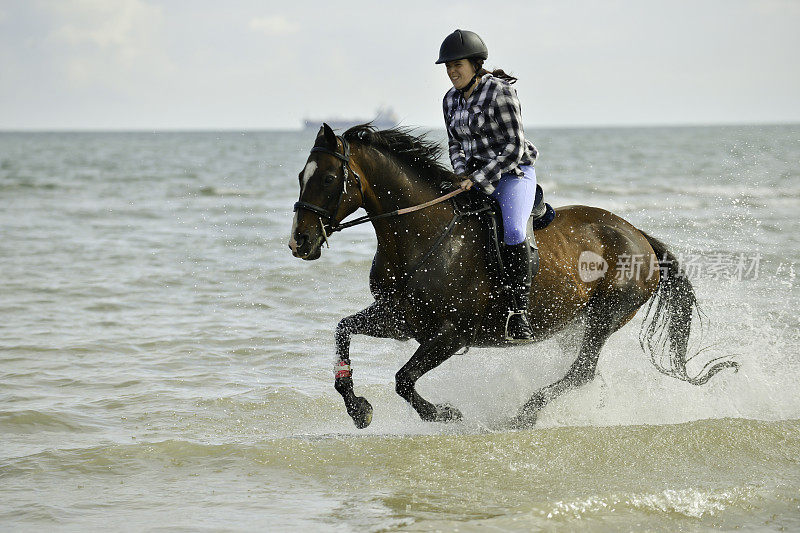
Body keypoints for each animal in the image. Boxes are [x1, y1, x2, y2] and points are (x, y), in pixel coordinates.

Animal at [288, 123, 736, 428]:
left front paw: (444, 414)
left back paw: (523, 415)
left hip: (605, 317)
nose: (299, 242)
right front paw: (358, 408)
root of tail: (639, 236)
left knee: (581, 372)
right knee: (583, 374)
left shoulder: (449, 335)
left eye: (328, 178)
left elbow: (402, 380)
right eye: (300, 176)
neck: (423, 234)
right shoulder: (399, 319)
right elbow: (343, 330)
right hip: (574, 323)